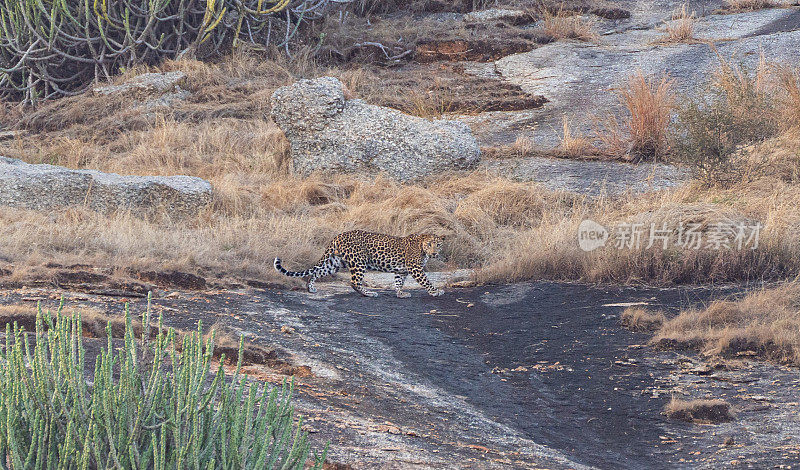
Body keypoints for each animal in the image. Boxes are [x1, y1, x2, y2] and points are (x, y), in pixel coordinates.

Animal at [276, 230, 444, 298]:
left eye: (438, 245)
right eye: (429, 244)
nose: (434, 253)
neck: (421, 247)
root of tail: (338, 236)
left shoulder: (401, 271)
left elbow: (398, 282)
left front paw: (400, 293)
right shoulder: (415, 268)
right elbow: (426, 281)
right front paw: (435, 291)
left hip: (336, 262)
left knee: (317, 272)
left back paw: (310, 288)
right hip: (358, 262)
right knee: (354, 282)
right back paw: (369, 293)